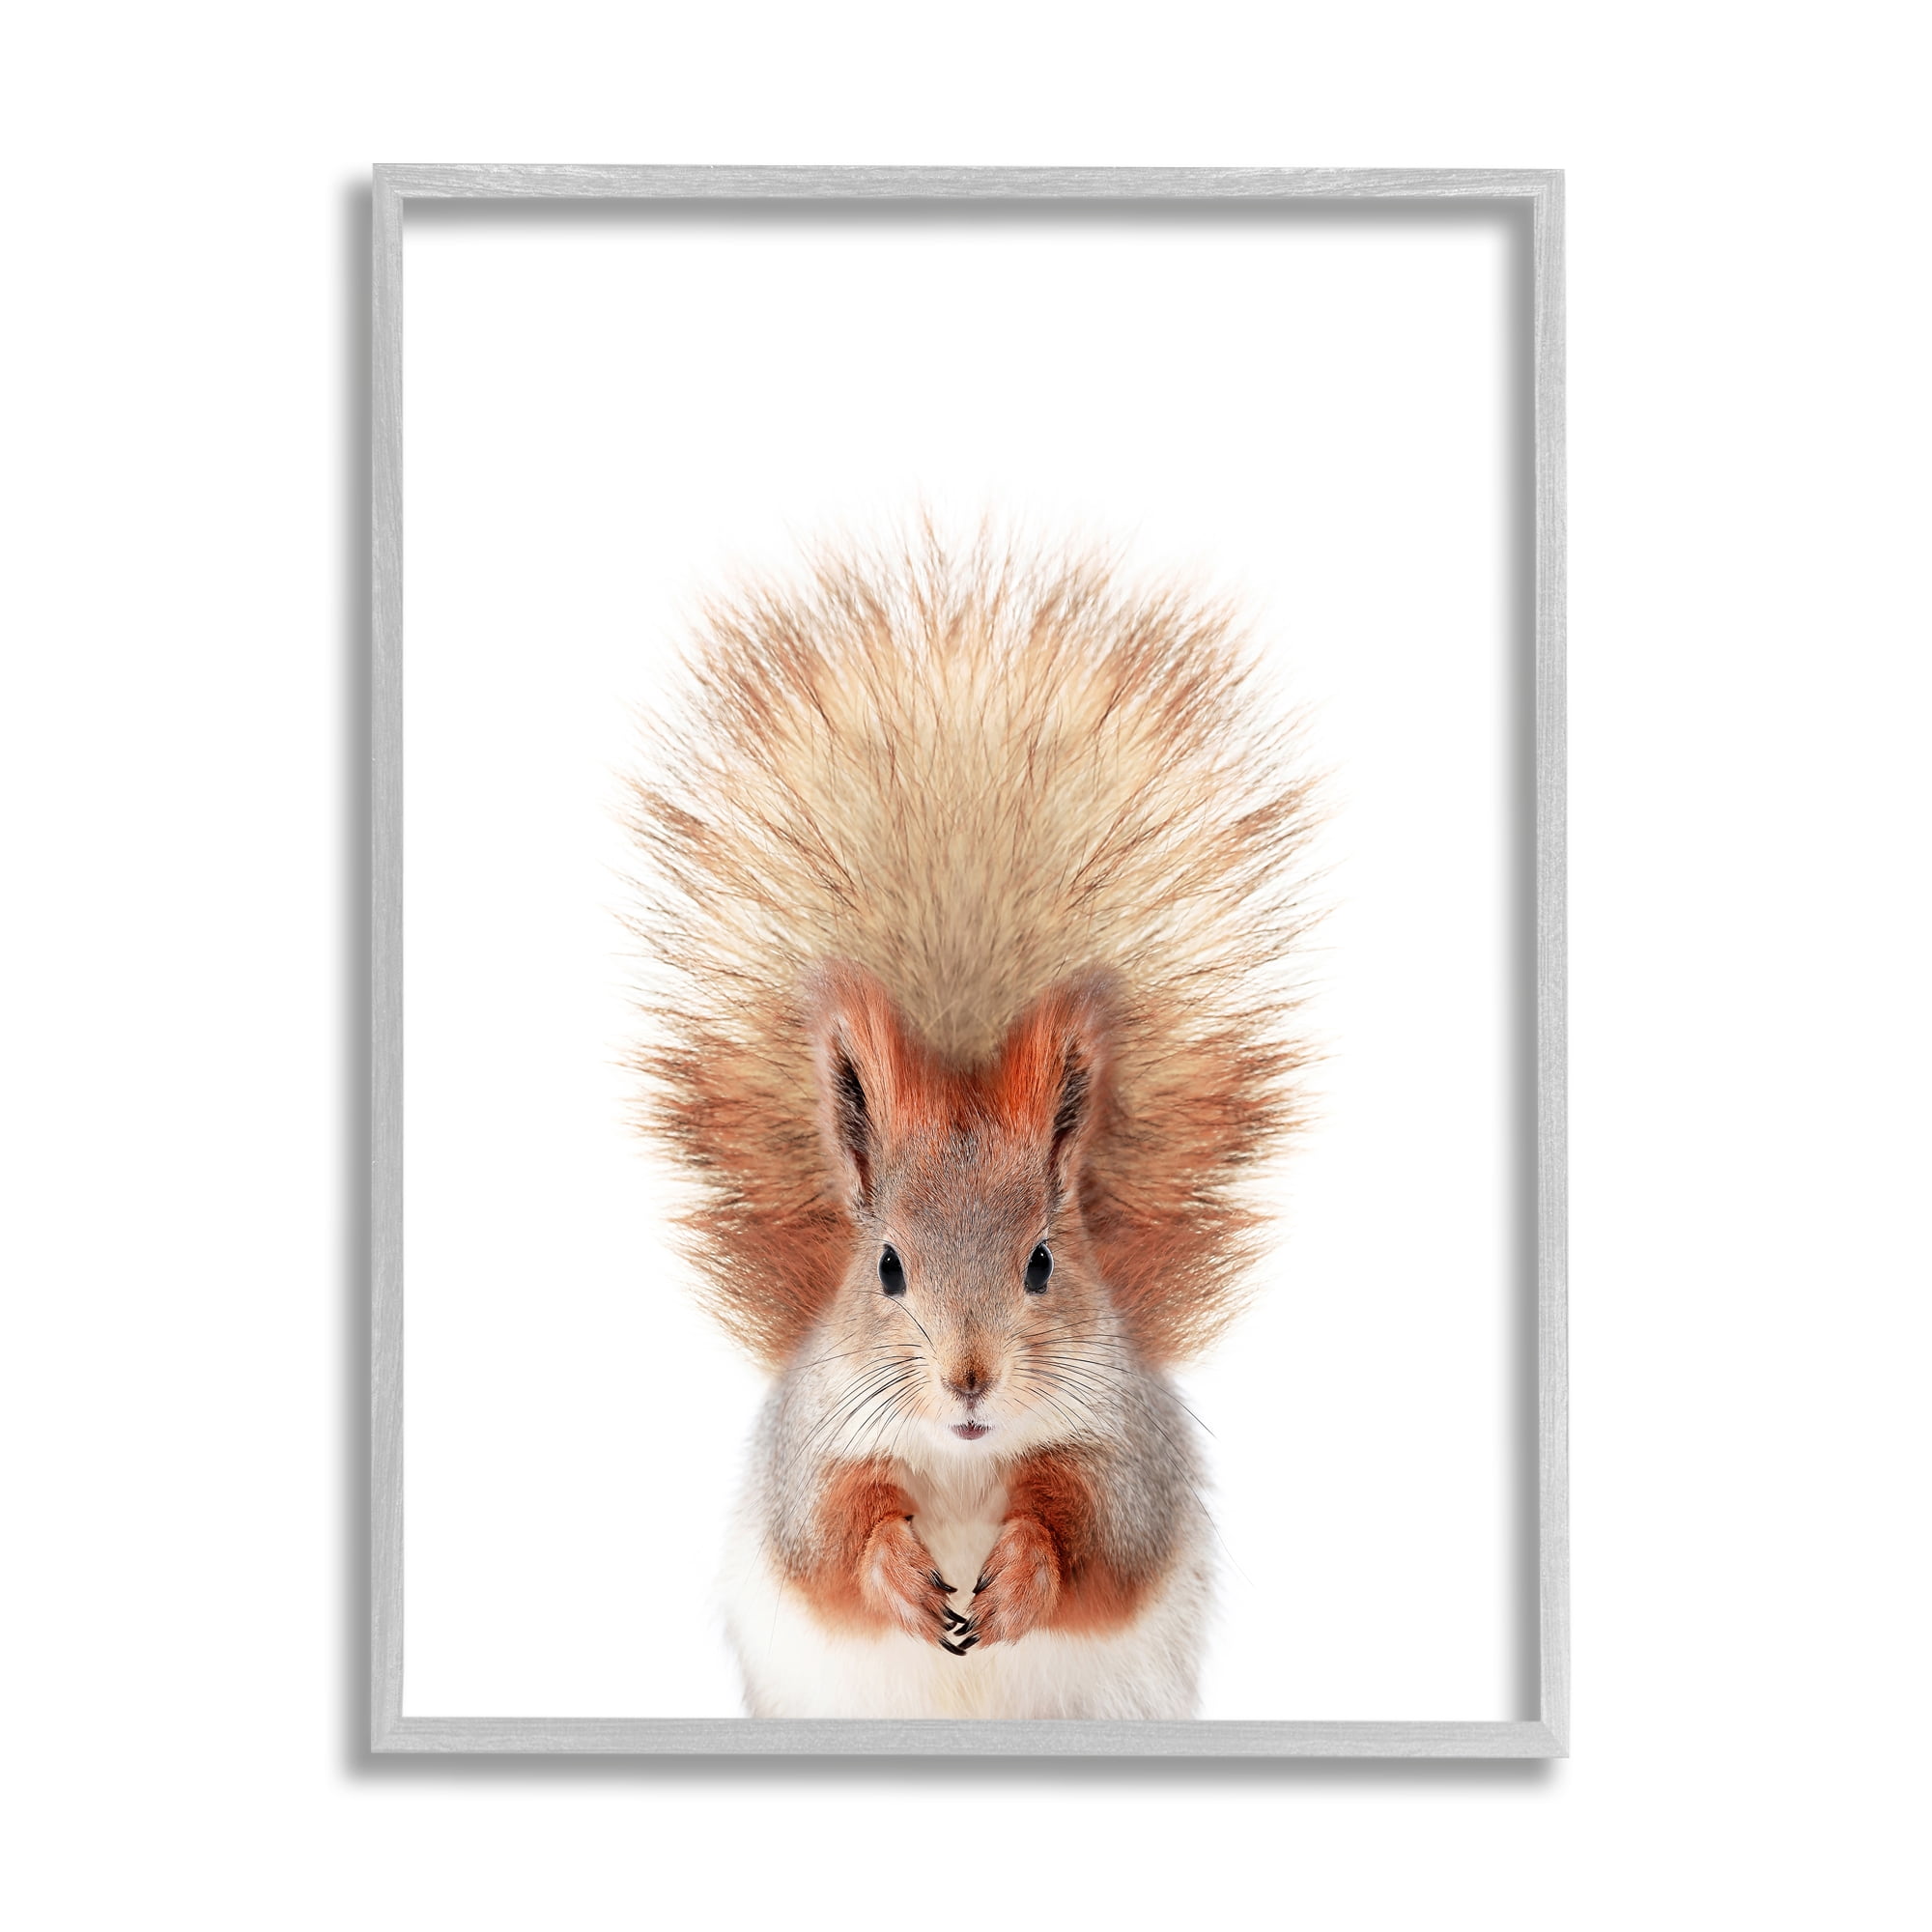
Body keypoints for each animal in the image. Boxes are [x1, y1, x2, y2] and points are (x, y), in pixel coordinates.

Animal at [624, 525, 1320, 1719]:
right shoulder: (810, 1450)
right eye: (887, 1267)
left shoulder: (1127, 1455)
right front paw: (898, 1572)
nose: (968, 1378)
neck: (960, 1458)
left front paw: (1024, 1572)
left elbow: (1098, 1539)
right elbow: (827, 1538)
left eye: (1042, 1262)